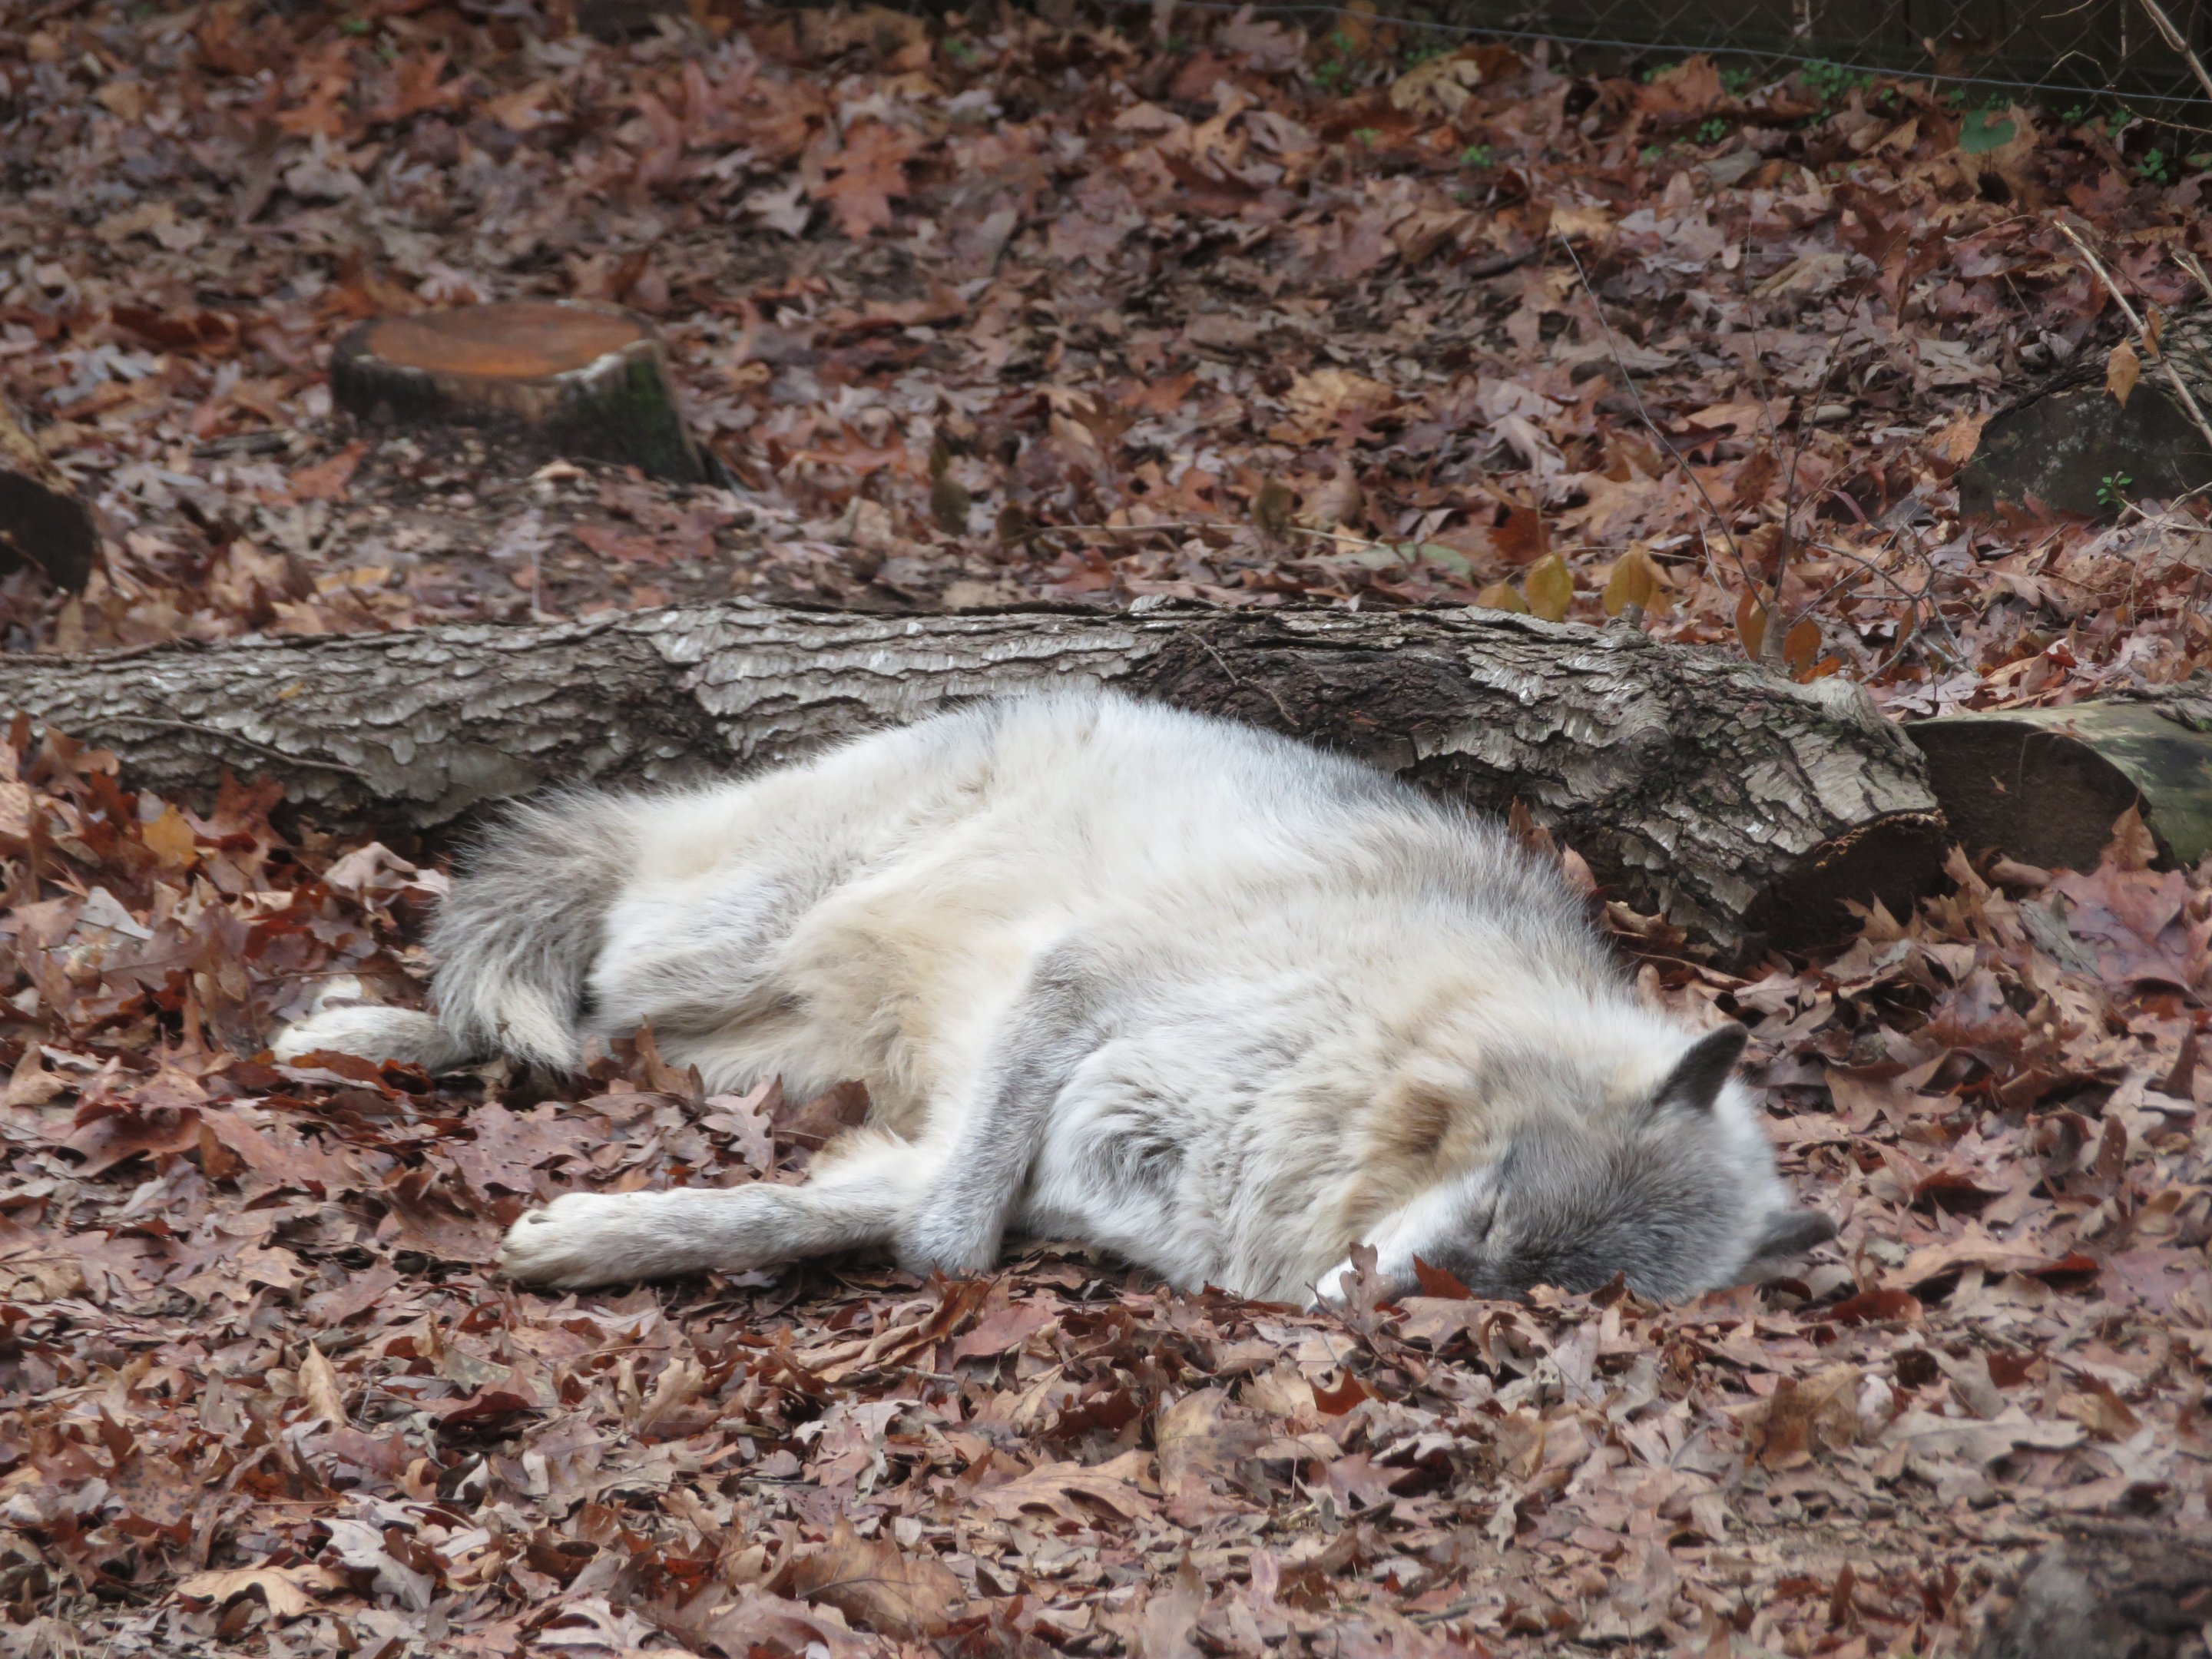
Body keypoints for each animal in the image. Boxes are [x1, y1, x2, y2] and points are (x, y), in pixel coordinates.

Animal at [275, 691, 1834, 1306]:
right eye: (1500, 1216)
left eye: (1523, 1300)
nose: (1375, 1300)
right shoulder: (1076, 983)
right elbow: (949, 1243)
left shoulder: (1019, 1166)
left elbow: (831, 1213)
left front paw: (599, 1239)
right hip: (711, 944)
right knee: (545, 997)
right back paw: (345, 1033)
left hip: (749, 1055)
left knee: (579, 1046)